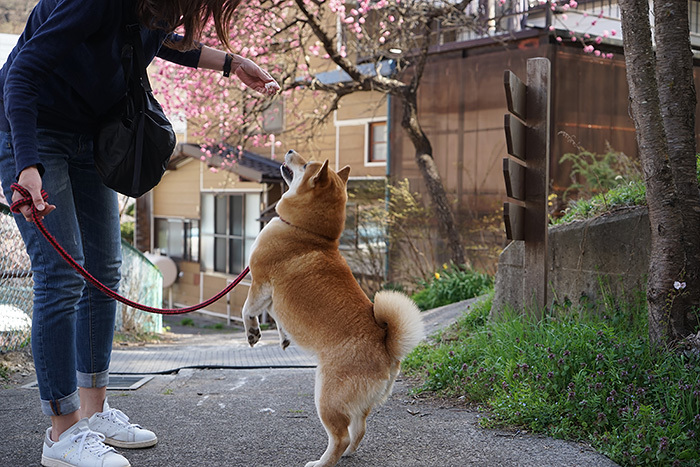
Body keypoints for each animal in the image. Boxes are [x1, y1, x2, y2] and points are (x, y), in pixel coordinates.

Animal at [241, 152, 426, 466]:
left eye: (305, 164)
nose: (289, 152)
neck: (306, 231)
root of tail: (386, 349)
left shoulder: (260, 282)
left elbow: (247, 310)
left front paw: (253, 332)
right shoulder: (272, 300)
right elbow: (277, 319)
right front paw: (283, 337)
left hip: (325, 397)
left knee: (339, 437)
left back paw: (322, 462)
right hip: (357, 406)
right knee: (358, 431)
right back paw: (348, 454)